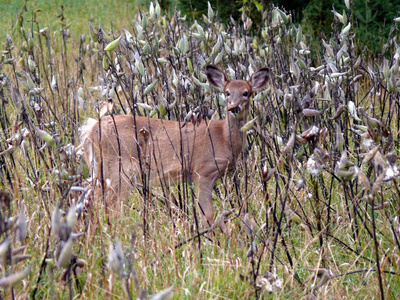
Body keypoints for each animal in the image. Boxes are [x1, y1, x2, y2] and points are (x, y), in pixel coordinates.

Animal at [79, 65, 268, 234]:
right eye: (227, 92)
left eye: (246, 92)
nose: (234, 107)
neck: (223, 137)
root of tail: (90, 129)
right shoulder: (204, 172)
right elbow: (208, 215)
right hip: (117, 170)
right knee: (107, 205)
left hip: (100, 170)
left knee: (90, 199)